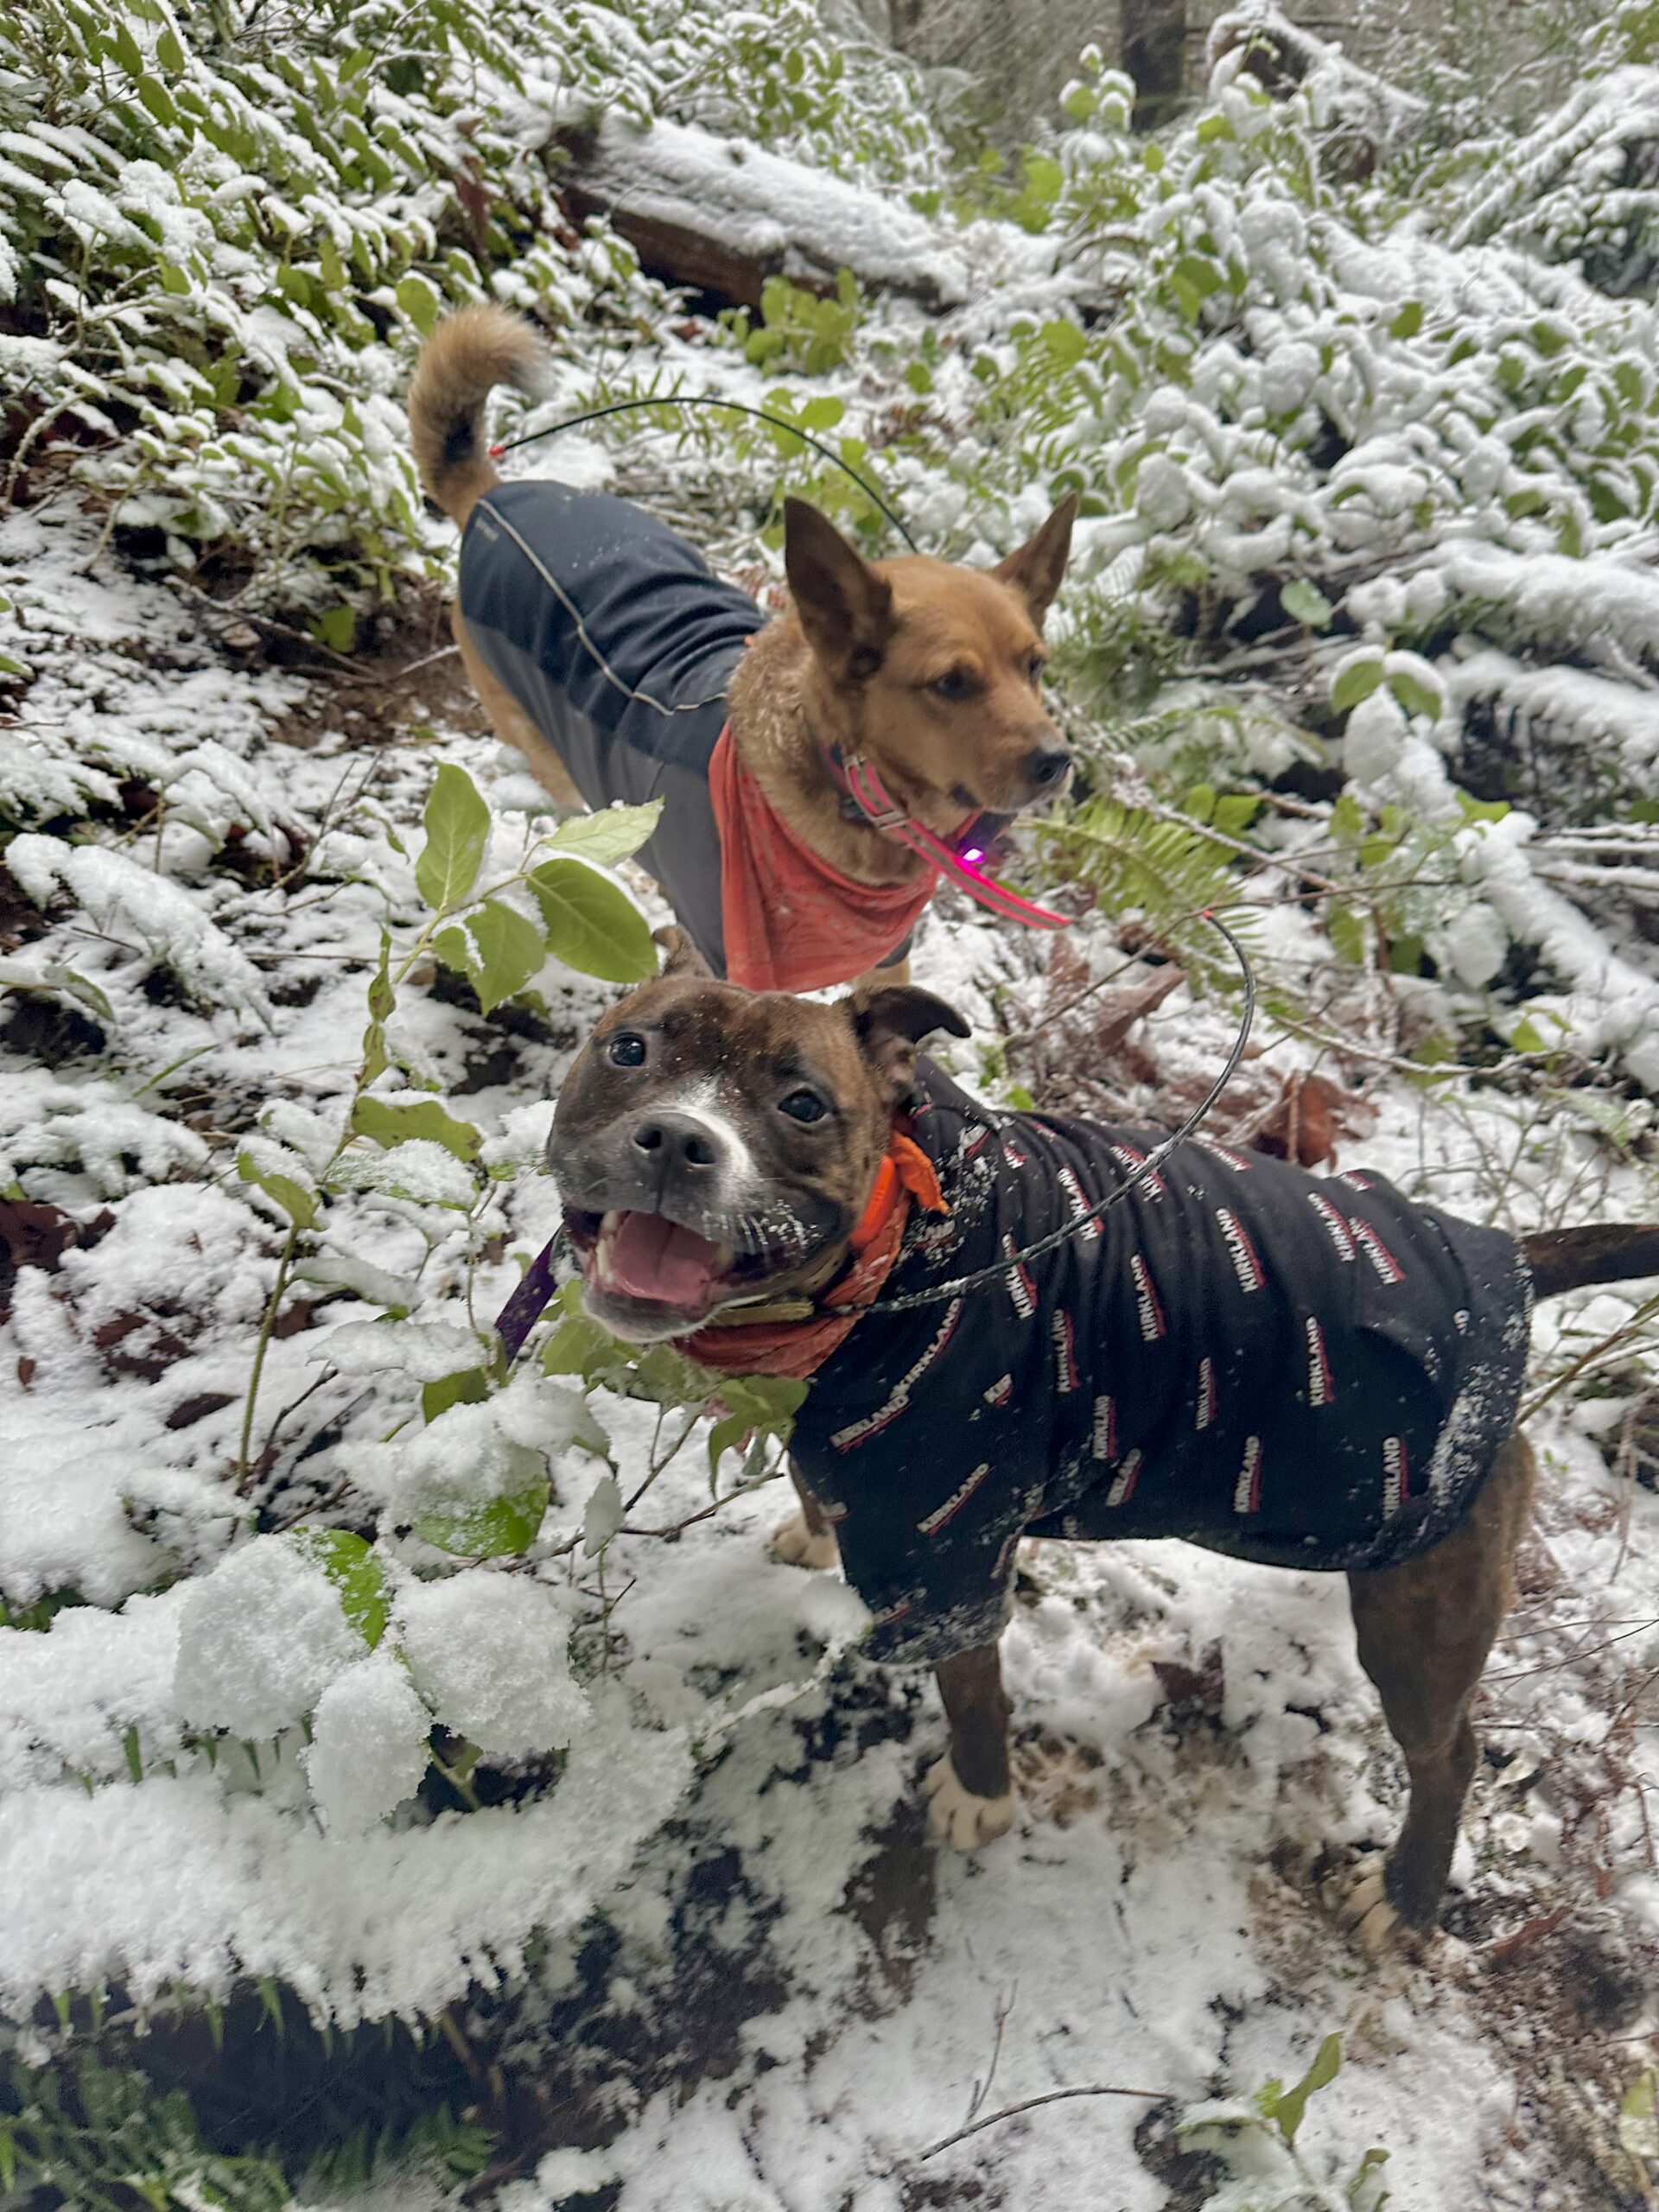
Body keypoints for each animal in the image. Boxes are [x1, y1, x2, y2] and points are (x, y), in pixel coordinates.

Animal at [404, 298, 1079, 990]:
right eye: (951, 683)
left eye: (1035, 667)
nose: (1059, 762)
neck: (849, 789)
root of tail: (492, 499)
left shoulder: (888, 962)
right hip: (544, 749)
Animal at [548, 955, 1659, 1955]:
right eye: (629, 1048)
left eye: (803, 1103)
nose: (679, 1138)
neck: (898, 1250)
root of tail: (1505, 1264)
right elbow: (813, 1483)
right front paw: (811, 1530)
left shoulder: (947, 1557)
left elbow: (972, 1690)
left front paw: (981, 1796)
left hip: (1425, 1611)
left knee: (1450, 1753)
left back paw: (1409, 1898)